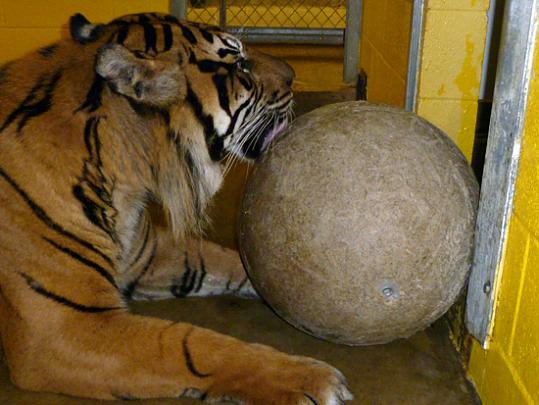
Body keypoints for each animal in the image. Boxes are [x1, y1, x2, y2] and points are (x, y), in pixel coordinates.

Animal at [0, 11, 352, 402]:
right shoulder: (66, 325)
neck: (127, 179)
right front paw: (307, 378)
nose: (292, 73)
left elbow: (231, 261)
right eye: (239, 65)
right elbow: (190, 345)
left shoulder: (146, 255)